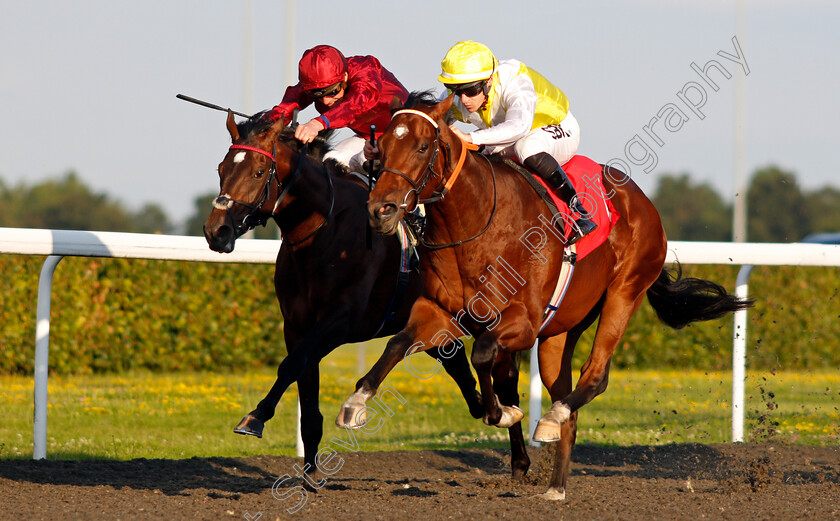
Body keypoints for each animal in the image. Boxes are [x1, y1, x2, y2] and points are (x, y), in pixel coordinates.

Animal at [203, 112, 528, 484]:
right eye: (221, 169)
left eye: (258, 172)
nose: (216, 231)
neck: (323, 230)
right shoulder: (297, 326)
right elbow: (305, 386)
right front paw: (309, 475)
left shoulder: (341, 322)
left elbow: (291, 365)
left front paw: (256, 417)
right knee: (458, 363)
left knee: (506, 378)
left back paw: (520, 456)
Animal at [338, 93, 752, 500]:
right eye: (379, 148)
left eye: (423, 146)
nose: (381, 210)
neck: (475, 224)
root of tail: (642, 202)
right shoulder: (440, 313)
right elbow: (399, 343)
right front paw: (355, 403)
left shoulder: (522, 322)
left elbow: (482, 355)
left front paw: (503, 412)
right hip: (562, 329)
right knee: (566, 393)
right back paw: (556, 482)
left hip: (625, 292)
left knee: (595, 376)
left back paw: (552, 421)